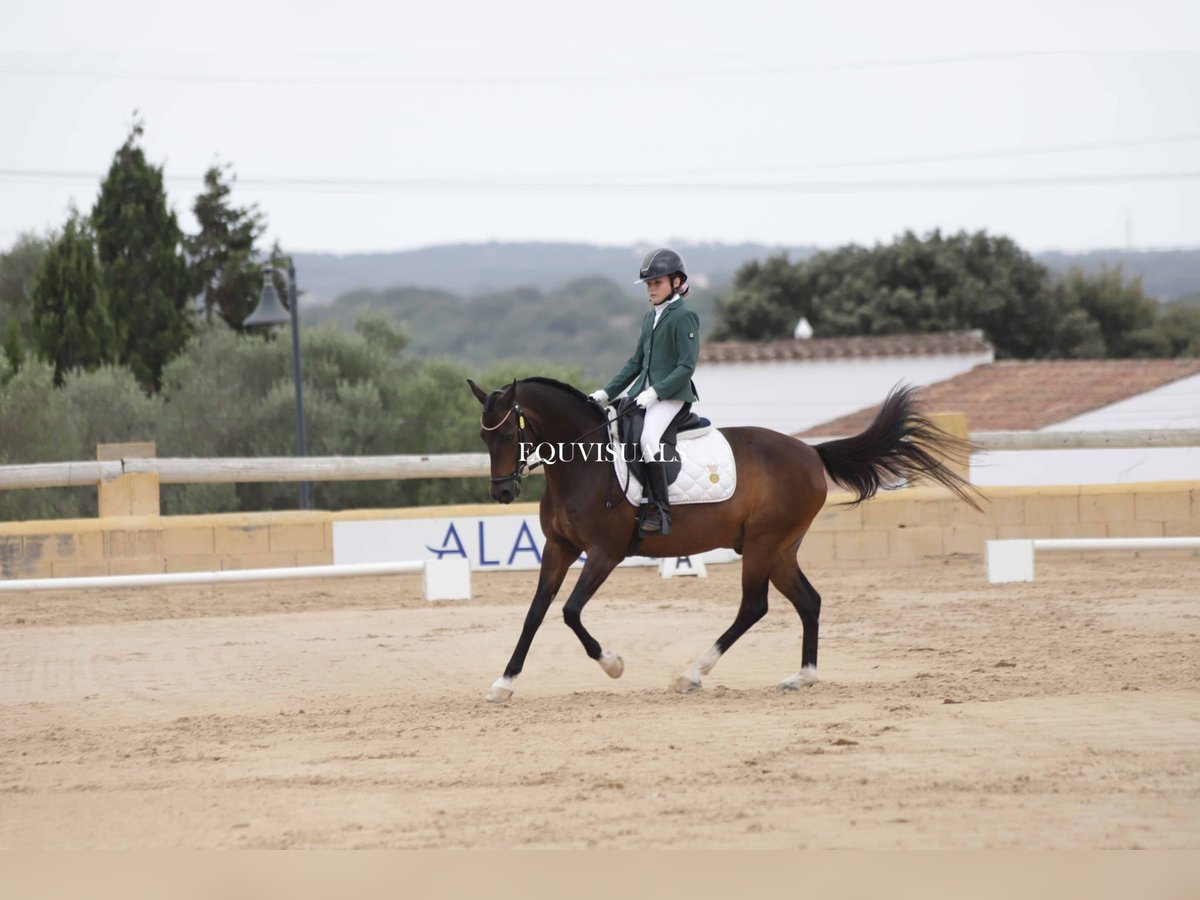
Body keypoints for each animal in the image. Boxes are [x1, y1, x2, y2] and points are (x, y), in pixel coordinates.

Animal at [466, 377, 980, 702]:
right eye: (483, 437)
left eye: (510, 432)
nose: (503, 492)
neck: (582, 463)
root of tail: (809, 452)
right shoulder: (559, 549)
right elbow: (535, 613)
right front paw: (503, 683)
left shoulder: (604, 554)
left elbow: (571, 612)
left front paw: (613, 664)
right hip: (779, 549)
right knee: (808, 601)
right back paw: (802, 678)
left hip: (763, 545)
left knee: (754, 607)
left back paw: (691, 675)